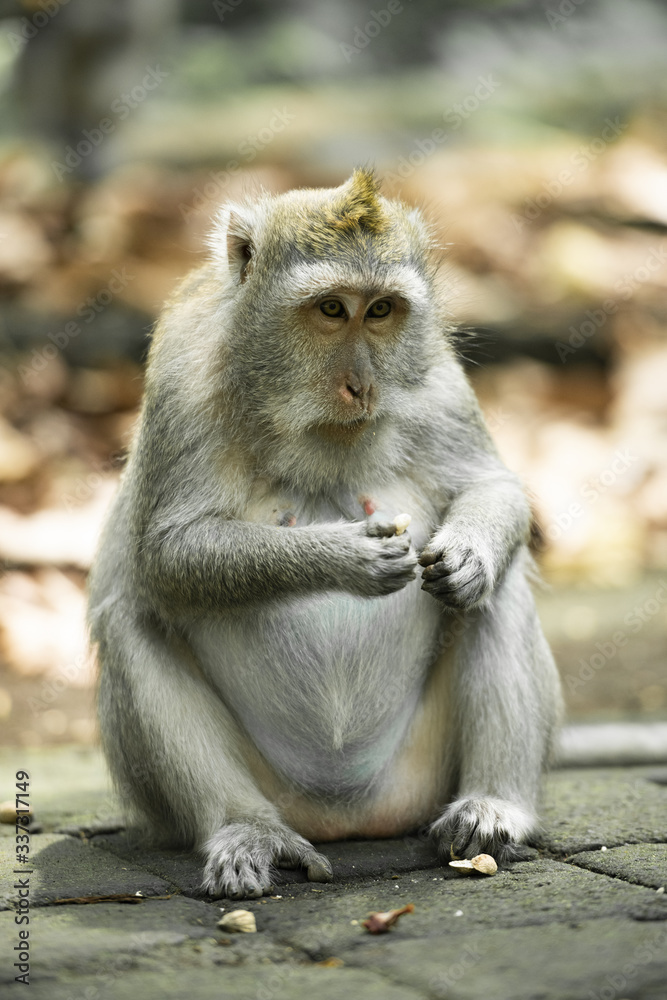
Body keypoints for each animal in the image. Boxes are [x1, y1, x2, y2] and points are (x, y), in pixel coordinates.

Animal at [88, 169, 562, 900]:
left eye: (381, 311)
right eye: (332, 310)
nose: (361, 387)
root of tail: (346, 819)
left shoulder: (437, 378)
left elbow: (492, 488)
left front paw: (466, 555)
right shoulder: (182, 380)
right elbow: (169, 553)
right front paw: (344, 556)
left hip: (419, 775)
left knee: (499, 591)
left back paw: (491, 807)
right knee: (130, 621)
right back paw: (247, 829)